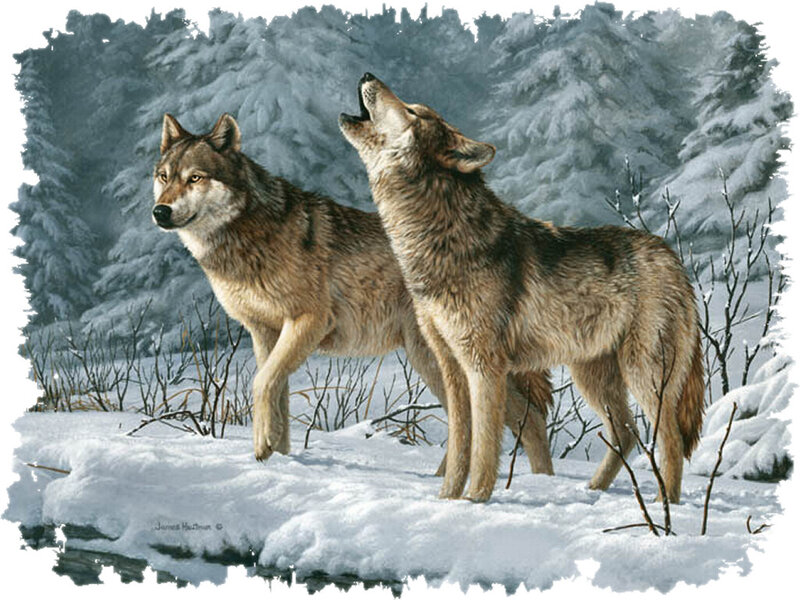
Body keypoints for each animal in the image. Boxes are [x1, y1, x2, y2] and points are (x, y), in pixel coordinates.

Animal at [152, 113, 555, 476]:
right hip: (433, 360)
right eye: (164, 177)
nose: (160, 212)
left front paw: (265, 448)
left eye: (195, 178)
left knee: (529, 419)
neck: (246, 239)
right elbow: (277, 396)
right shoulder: (265, 333)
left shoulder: (309, 321)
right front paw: (278, 456)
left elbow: (261, 383)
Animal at [339, 74, 704, 503]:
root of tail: (673, 257)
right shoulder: (452, 367)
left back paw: (666, 506)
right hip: (593, 376)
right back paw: (591, 491)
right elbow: (459, 446)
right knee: (627, 433)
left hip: (643, 373)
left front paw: (475, 500)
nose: (367, 75)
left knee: (669, 440)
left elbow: (484, 447)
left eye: (413, 111)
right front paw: (447, 500)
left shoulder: (486, 368)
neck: (437, 241)